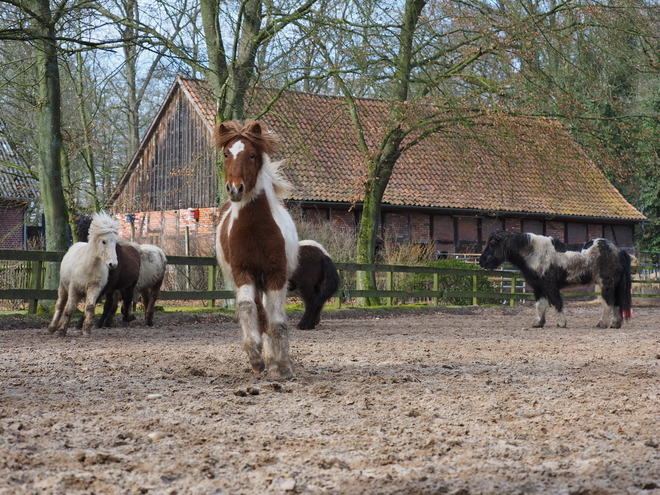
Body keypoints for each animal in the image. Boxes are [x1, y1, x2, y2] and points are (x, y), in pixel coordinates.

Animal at [47, 211, 120, 340]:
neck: (89, 266)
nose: (113, 264)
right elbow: (69, 308)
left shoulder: (94, 288)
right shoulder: (73, 288)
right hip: (63, 287)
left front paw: (86, 332)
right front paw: (61, 331)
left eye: (115, 242)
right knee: (60, 305)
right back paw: (52, 328)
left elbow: (89, 308)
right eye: (104, 241)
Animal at [214, 119, 300, 380]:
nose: (235, 189)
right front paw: (255, 357)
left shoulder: (276, 274)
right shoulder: (243, 272)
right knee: (259, 314)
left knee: (268, 317)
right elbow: (247, 308)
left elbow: (277, 320)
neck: (255, 230)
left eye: (252, 154)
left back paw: (275, 361)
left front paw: (283, 365)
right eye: (226, 154)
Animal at [480, 232, 636, 330]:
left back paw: (602, 324)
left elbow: (556, 303)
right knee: (616, 303)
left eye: (492, 243)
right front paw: (538, 323)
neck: (535, 254)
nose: (482, 261)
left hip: (607, 284)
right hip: (615, 285)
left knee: (608, 303)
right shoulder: (538, 287)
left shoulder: (550, 286)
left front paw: (561, 323)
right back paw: (615, 324)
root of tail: (619, 251)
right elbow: (540, 305)